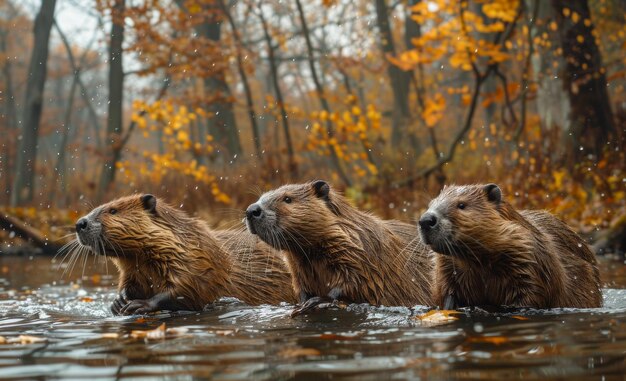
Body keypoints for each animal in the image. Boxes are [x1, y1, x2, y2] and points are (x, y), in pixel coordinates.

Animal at [70, 194, 294, 314]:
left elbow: (188, 288)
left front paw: (137, 305)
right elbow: (130, 283)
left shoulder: (199, 258)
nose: (80, 223)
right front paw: (118, 302)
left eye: (113, 210)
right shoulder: (133, 269)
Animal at [244, 180, 434, 314]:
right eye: (262, 196)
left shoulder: (363, 254)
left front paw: (314, 302)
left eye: (287, 198)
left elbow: (354, 282)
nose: (252, 210)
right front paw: (302, 302)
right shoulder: (298, 265)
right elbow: (301, 286)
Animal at [416, 183, 604, 310]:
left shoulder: (530, 260)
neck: (476, 262)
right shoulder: (447, 269)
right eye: (431, 203)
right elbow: (446, 293)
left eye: (461, 205)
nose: (426, 220)